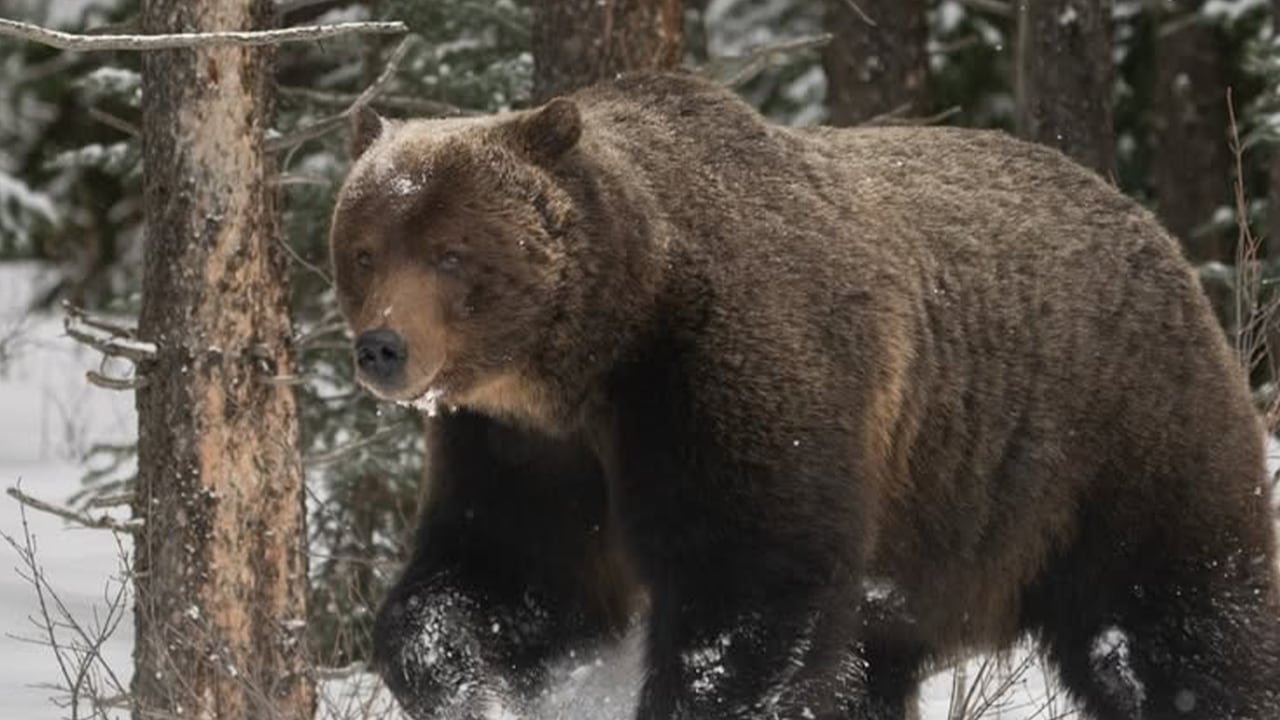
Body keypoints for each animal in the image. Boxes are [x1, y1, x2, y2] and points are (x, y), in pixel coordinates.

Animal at [328, 71, 1280, 719]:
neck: (594, 353)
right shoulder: (524, 447)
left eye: (451, 252)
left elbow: (748, 590)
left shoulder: (726, 378)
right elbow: (501, 580)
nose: (383, 347)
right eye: (366, 249)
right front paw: (462, 681)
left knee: (1177, 615)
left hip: (1112, 439)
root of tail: (1151, 228)